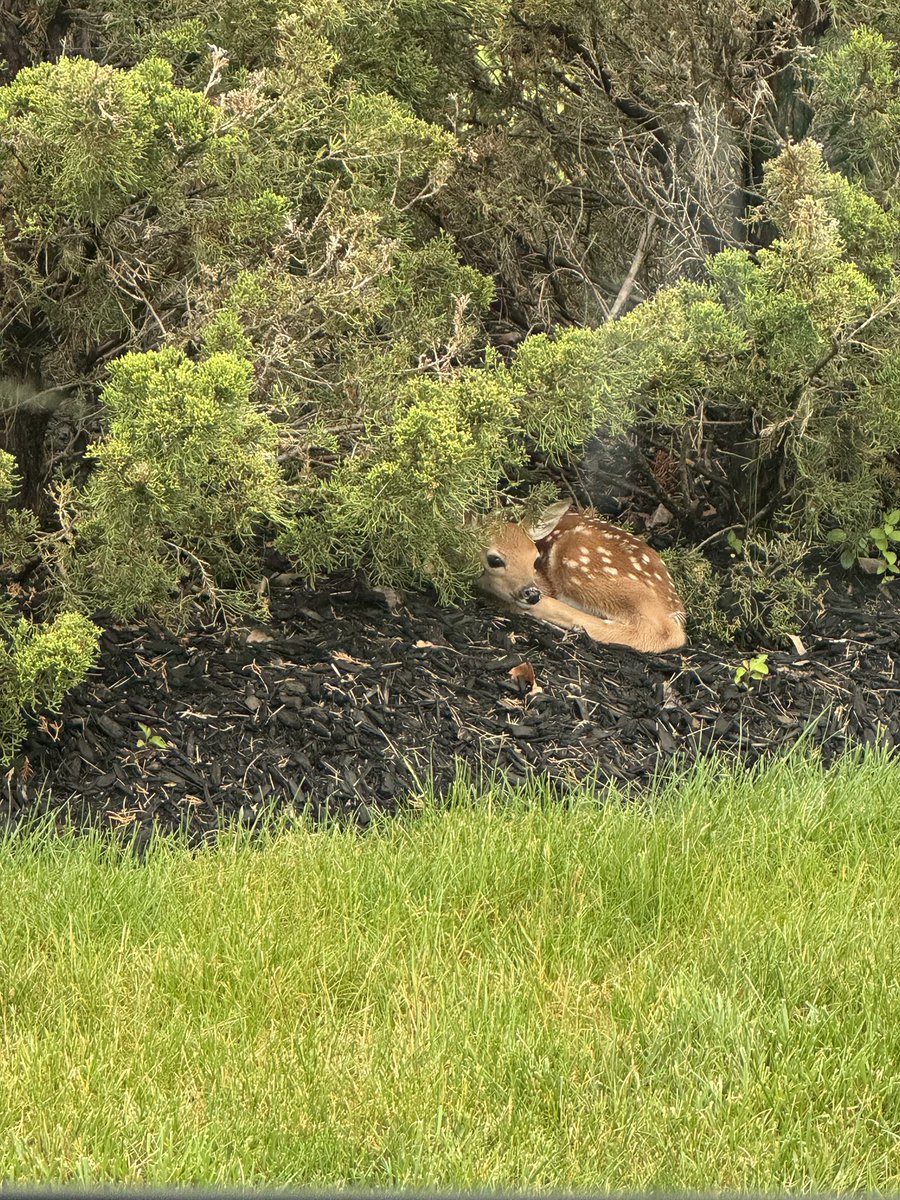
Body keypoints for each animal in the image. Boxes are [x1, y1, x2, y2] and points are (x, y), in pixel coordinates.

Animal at [482, 504, 686, 662]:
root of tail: (674, 605)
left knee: (667, 632)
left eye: (535, 558)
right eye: (494, 560)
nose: (531, 593)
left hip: (579, 559)